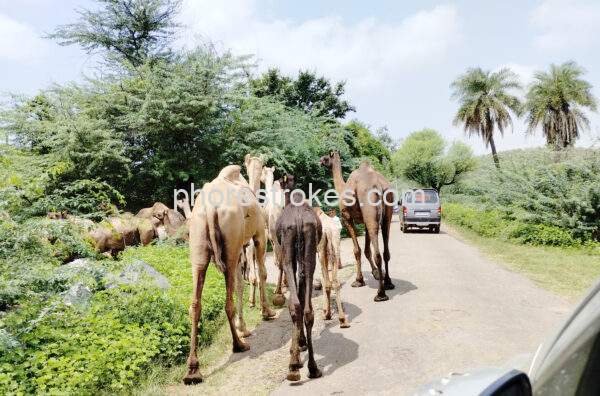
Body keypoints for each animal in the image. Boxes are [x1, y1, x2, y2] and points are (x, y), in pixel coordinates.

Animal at [184, 163, 276, 384]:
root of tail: (209, 209)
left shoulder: (242, 244)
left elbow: (242, 283)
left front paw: (244, 326)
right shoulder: (258, 234)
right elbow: (261, 273)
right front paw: (266, 312)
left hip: (198, 243)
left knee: (195, 303)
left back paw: (192, 370)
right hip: (231, 243)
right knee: (228, 301)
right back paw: (239, 345)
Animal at [318, 151, 394, 300]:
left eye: (326, 157)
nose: (319, 161)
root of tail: (380, 185)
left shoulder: (347, 218)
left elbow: (357, 250)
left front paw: (359, 280)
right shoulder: (364, 221)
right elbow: (366, 250)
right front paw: (376, 273)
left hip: (370, 210)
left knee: (377, 253)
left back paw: (380, 294)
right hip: (386, 212)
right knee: (385, 249)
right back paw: (388, 283)